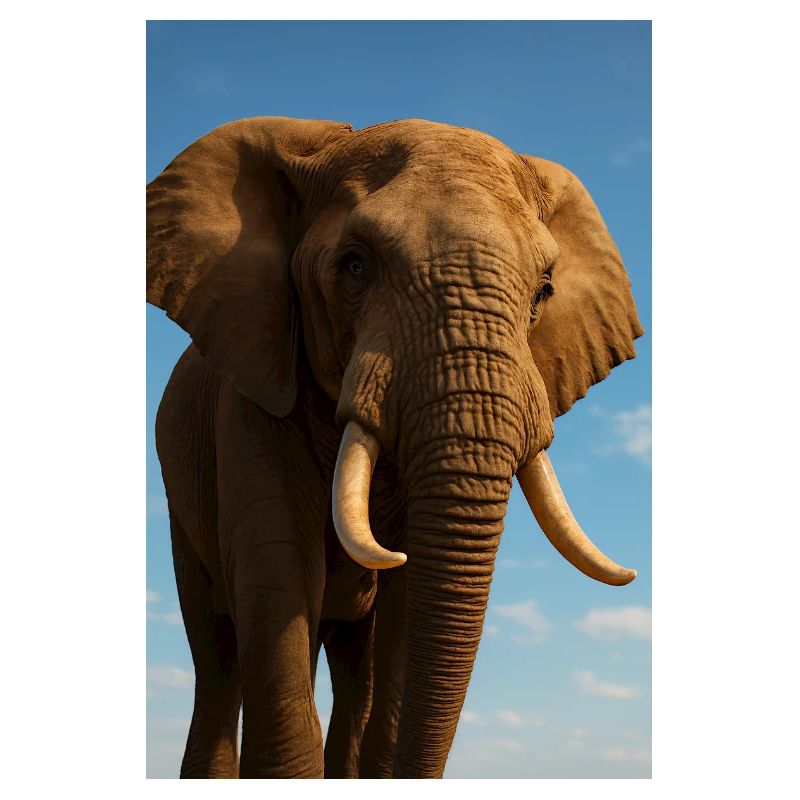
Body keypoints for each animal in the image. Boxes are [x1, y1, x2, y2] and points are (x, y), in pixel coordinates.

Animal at [147, 116, 643, 779]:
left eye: (543, 291)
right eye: (354, 267)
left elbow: (407, 611)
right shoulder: (251, 389)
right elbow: (276, 577)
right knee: (220, 663)